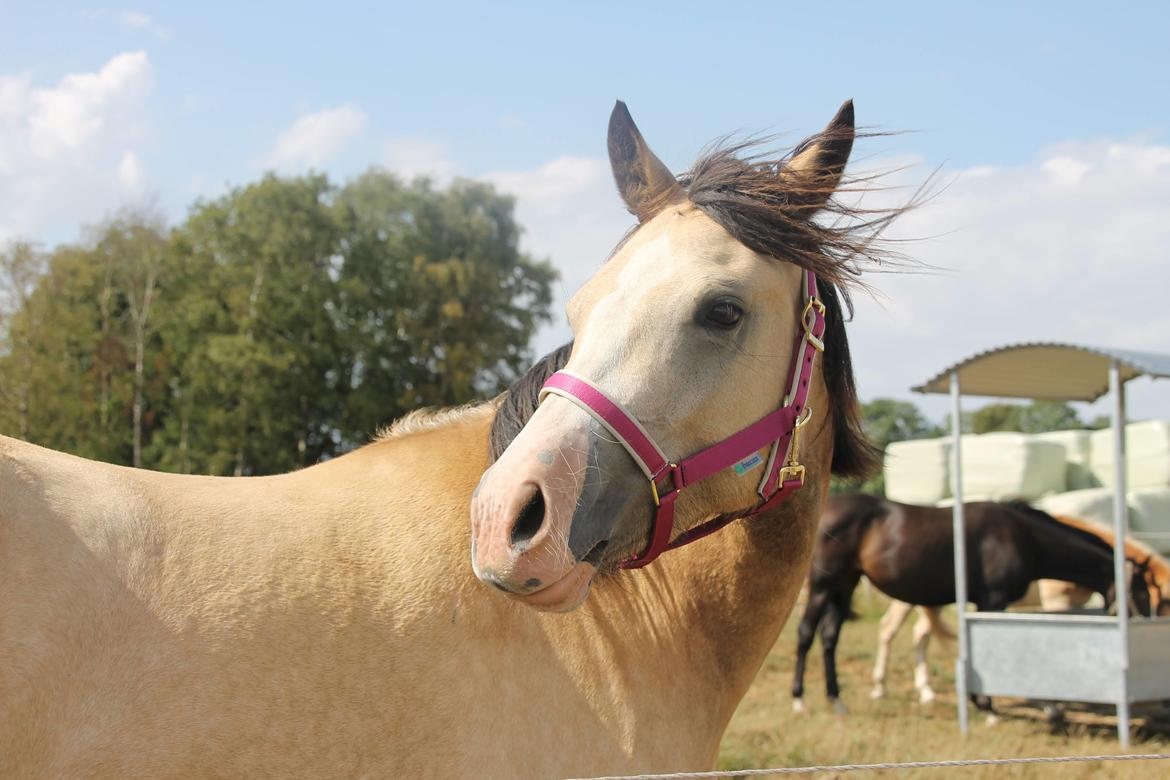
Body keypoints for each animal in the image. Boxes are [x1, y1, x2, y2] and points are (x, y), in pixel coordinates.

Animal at [786, 493, 1151, 715]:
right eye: (1143, 594)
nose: (1145, 624)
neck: (1021, 536)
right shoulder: (993, 601)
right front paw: (988, 706)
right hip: (823, 587)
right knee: (805, 634)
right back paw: (800, 700)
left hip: (845, 585)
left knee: (830, 637)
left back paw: (837, 700)